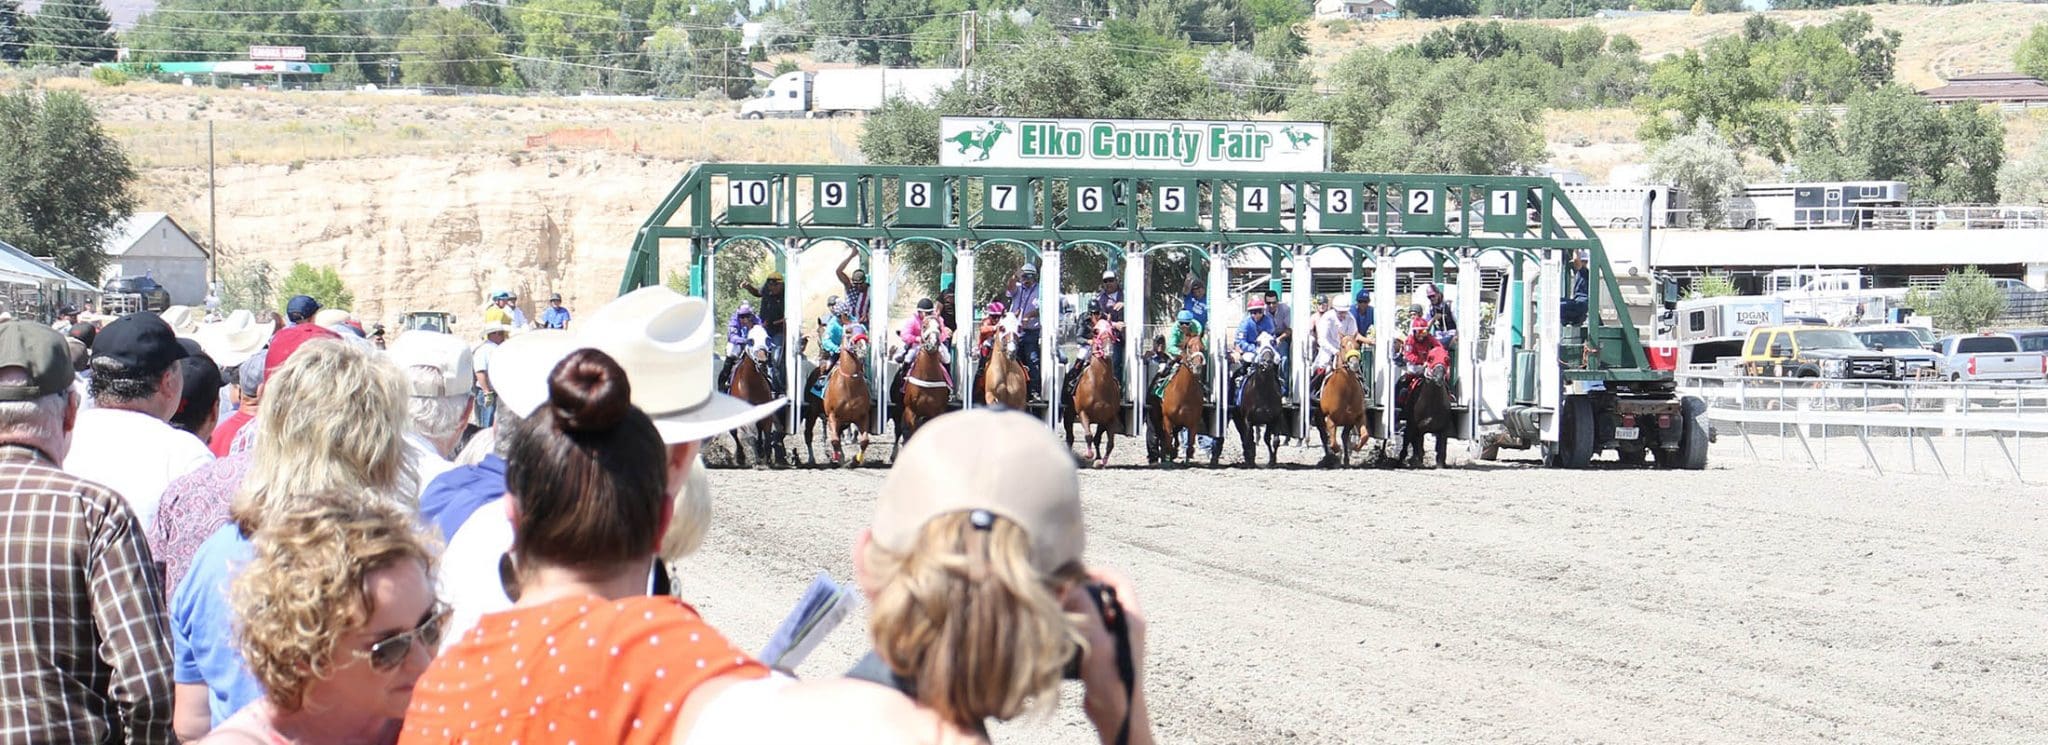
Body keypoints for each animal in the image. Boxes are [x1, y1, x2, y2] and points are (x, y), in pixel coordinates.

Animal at [823, 337, 872, 466]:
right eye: (849, 335)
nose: (863, 348)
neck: (849, 385)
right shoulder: (833, 415)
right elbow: (835, 440)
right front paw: (839, 458)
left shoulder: (863, 416)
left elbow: (865, 440)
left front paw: (856, 460)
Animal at [1155, 333, 1212, 466]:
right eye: (1189, 347)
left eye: (1203, 348)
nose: (1197, 367)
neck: (1184, 392)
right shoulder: (1167, 419)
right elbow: (1168, 439)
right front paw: (1169, 456)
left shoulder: (1193, 422)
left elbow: (1190, 443)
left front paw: (1187, 459)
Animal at [1318, 335, 1368, 466]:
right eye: (1342, 346)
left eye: (1357, 345)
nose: (1354, 363)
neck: (1346, 388)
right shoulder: (1330, 418)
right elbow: (1333, 442)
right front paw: (1337, 452)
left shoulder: (1356, 417)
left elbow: (1364, 436)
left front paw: (1354, 448)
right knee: (1324, 436)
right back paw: (1328, 458)